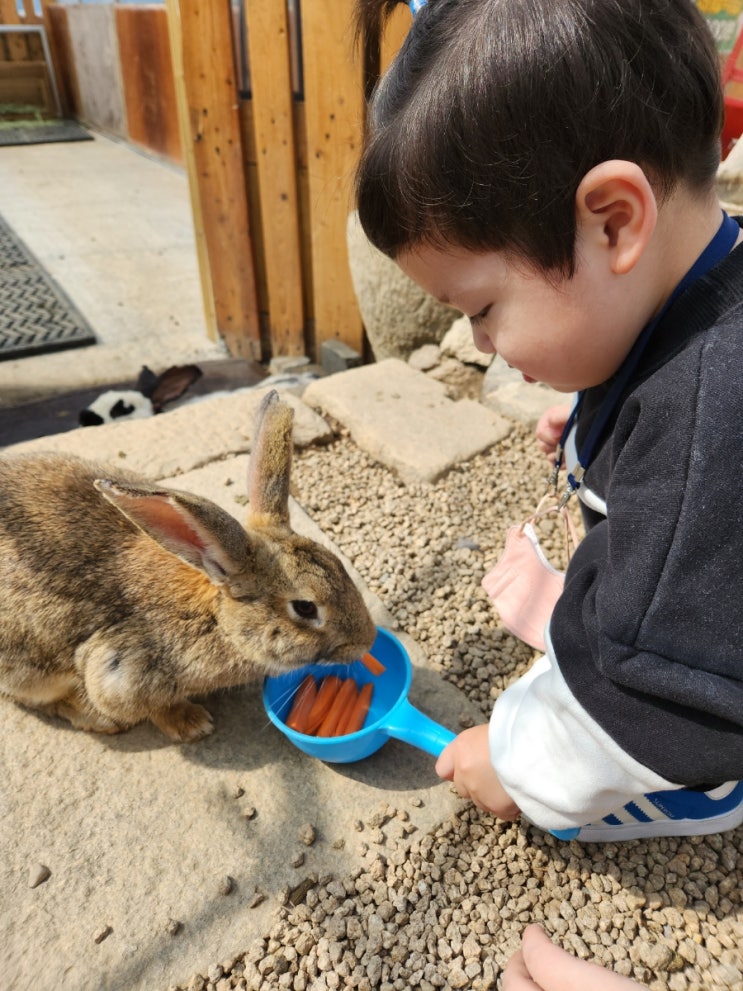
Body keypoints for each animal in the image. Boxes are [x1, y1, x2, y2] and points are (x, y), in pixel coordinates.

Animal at [0, 390, 377, 742]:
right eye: (305, 607)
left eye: (339, 564)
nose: (367, 642)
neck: (218, 620)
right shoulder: (118, 671)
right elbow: (146, 705)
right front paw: (192, 723)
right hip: (31, 669)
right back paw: (97, 719)